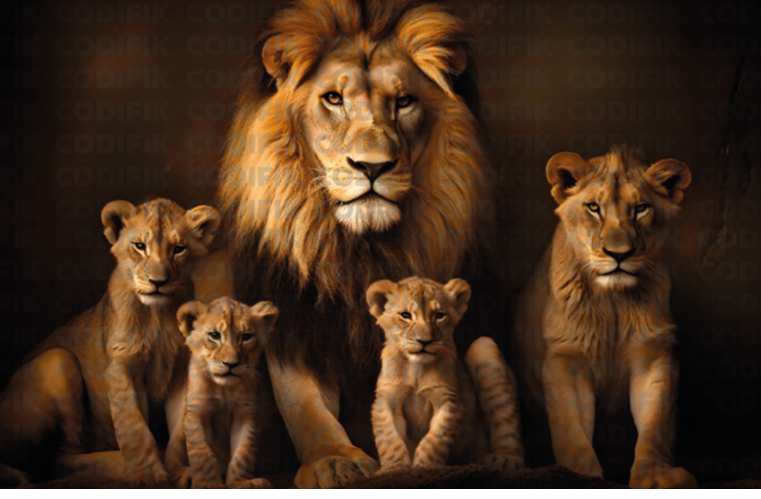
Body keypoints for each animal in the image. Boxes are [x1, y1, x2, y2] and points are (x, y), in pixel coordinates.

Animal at [0, 198, 220, 486]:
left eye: (179, 249)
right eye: (140, 246)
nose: (158, 282)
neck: (157, 315)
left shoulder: (183, 371)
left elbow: (181, 428)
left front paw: (179, 471)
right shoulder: (121, 365)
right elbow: (134, 425)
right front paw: (149, 475)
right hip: (58, 359)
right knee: (60, 460)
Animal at [163, 297, 278, 489]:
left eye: (246, 337)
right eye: (215, 335)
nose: (231, 364)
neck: (224, 388)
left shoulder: (245, 414)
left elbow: (243, 453)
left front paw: (241, 483)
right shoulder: (195, 411)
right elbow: (201, 453)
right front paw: (207, 484)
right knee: (172, 457)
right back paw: (182, 474)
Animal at [193, 0, 498, 488]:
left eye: (404, 101)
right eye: (333, 99)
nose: (372, 167)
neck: (363, 249)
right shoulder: (297, 326)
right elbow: (305, 406)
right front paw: (334, 460)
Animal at [367, 277, 524, 473]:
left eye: (439, 315)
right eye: (405, 315)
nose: (424, 341)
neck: (416, 368)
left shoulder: (447, 398)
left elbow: (435, 439)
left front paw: (425, 468)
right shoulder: (386, 398)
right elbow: (389, 438)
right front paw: (395, 469)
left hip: (484, 346)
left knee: (506, 422)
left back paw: (505, 458)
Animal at [511, 148, 698, 488]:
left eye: (641, 208)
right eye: (593, 208)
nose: (619, 254)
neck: (613, 300)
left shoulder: (653, 354)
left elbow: (655, 426)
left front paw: (656, 476)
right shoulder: (565, 358)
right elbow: (571, 431)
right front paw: (580, 478)